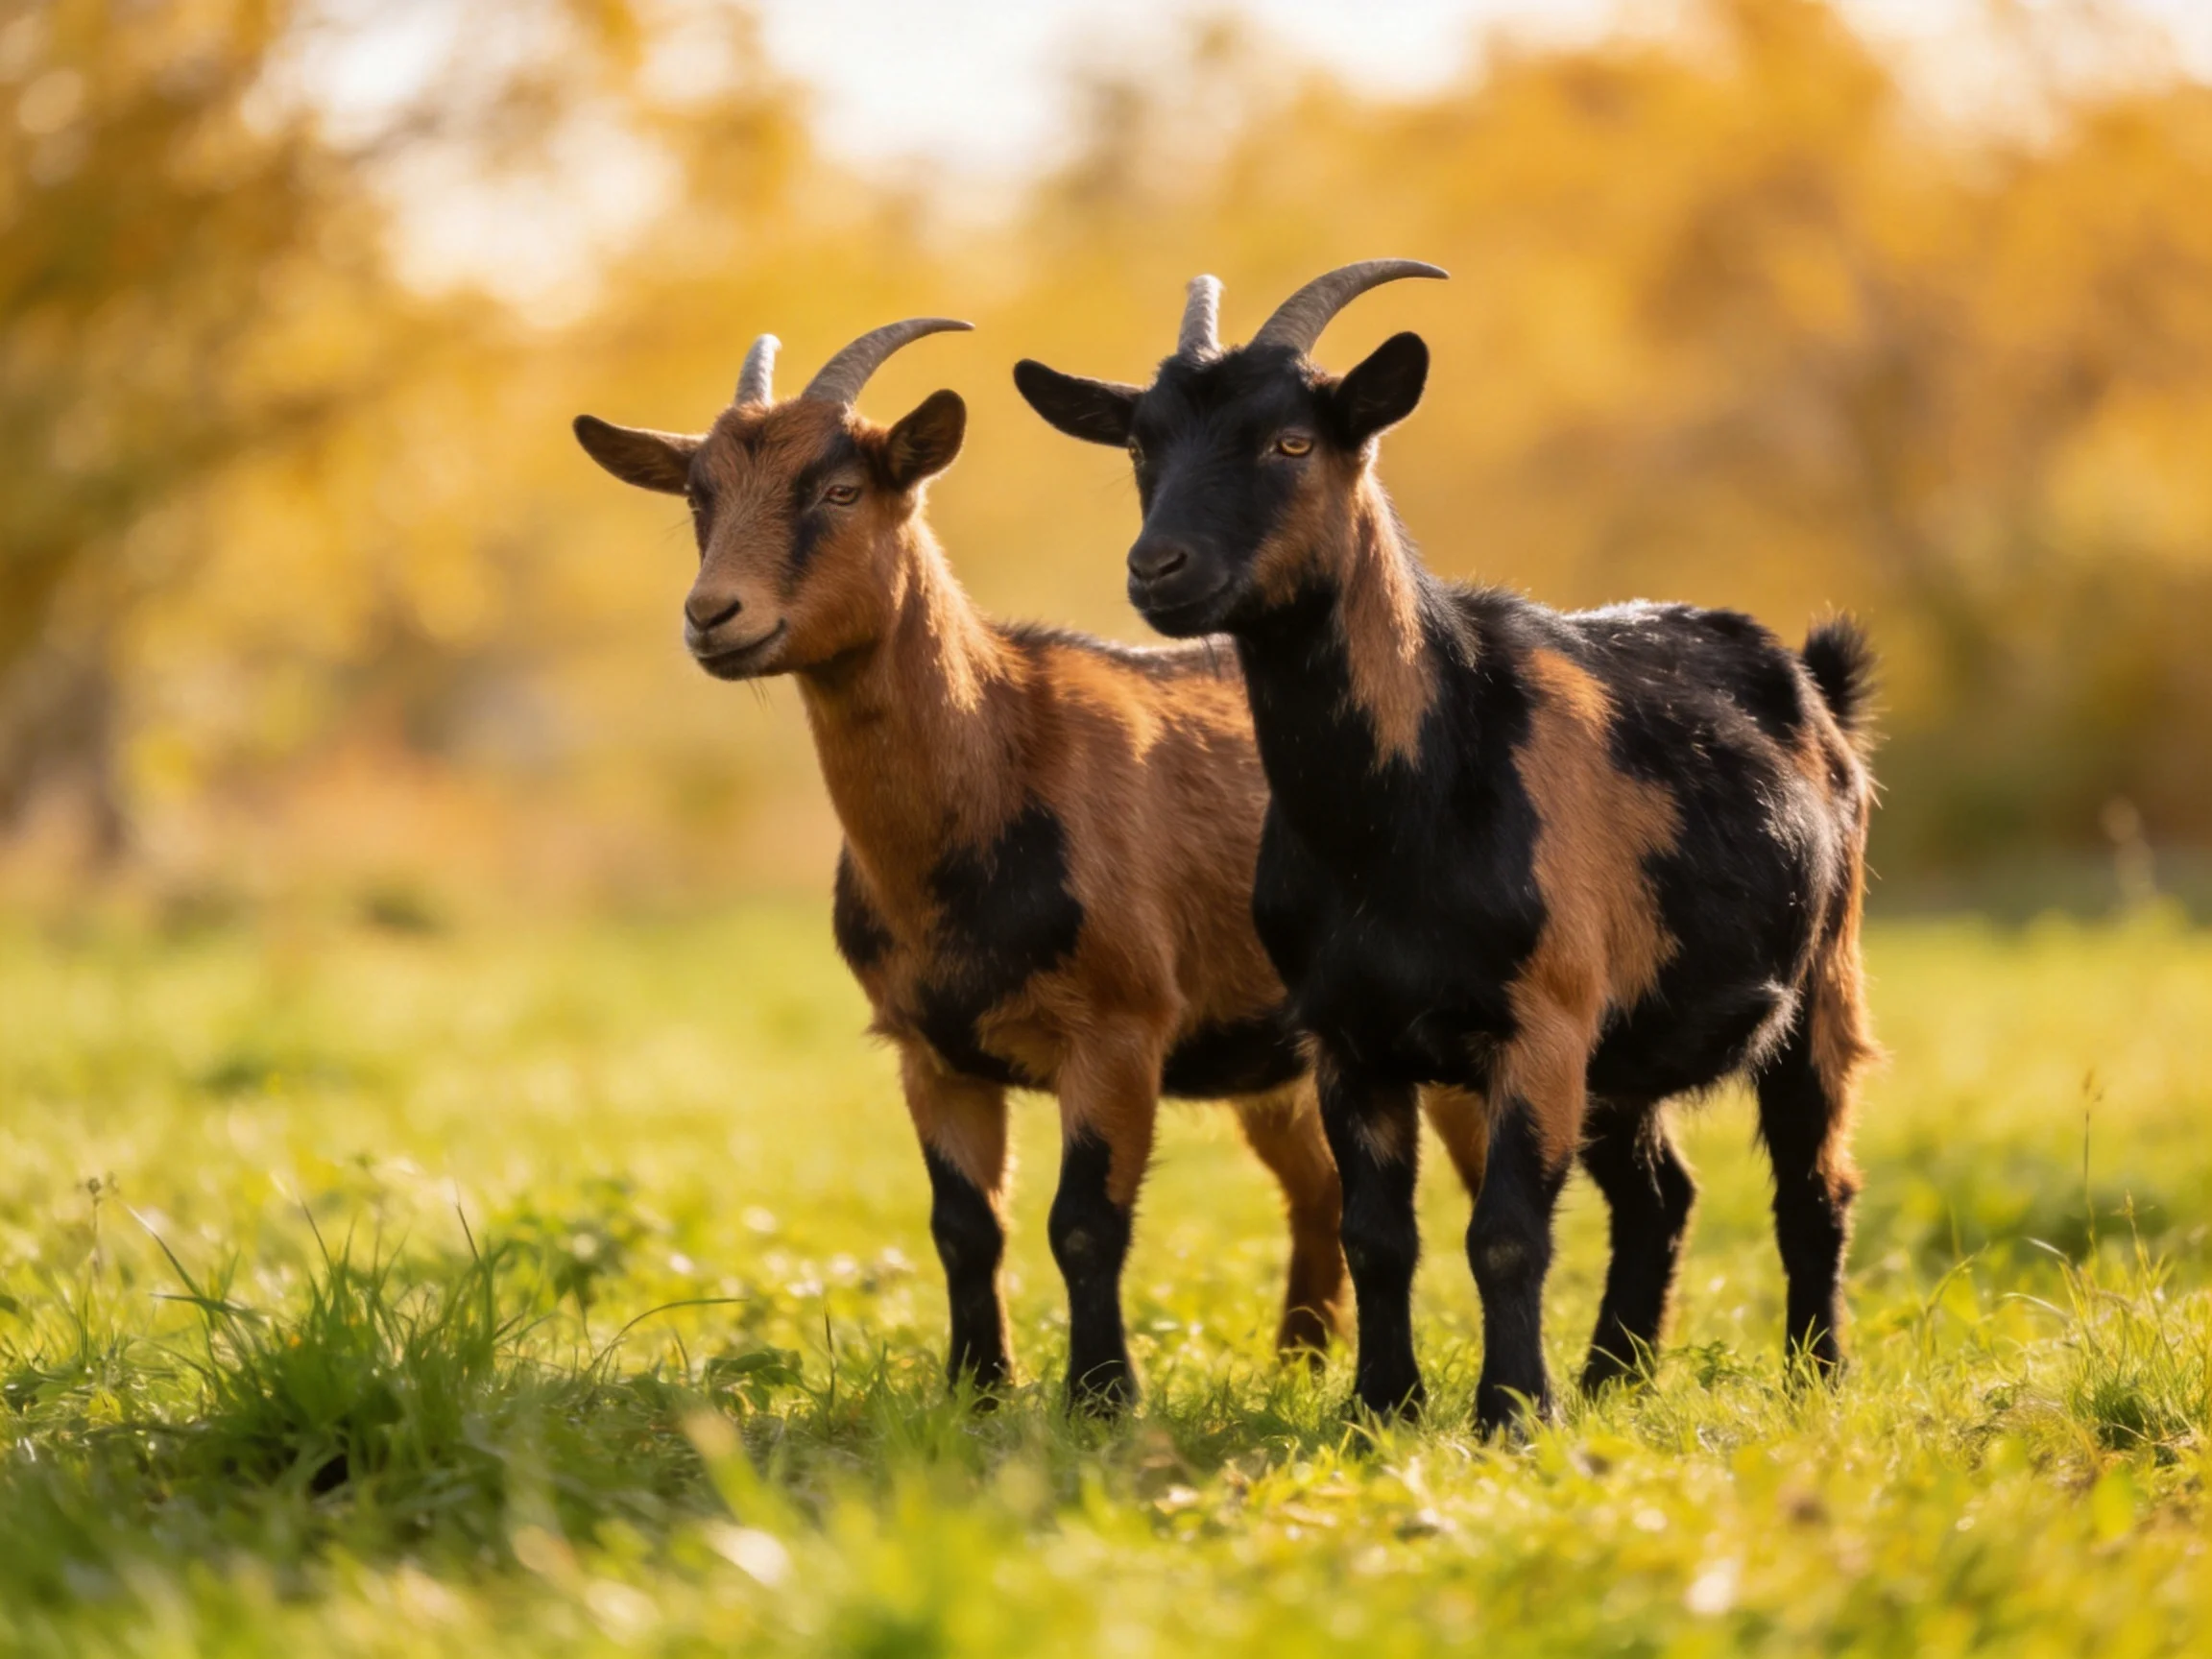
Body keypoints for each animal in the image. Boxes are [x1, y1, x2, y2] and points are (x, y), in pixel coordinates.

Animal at [574, 319, 1352, 1409]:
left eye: (841, 489)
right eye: (699, 494)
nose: (713, 615)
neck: (1005, 755)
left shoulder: (1119, 1031)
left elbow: (1085, 1224)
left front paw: (1103, 1396)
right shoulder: (930, 1050)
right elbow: (963, 1228)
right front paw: (977, 1388)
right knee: (1319, 1185)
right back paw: (1300, 1367)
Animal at [1017, 265, 1878, 1431]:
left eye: (1293, 441)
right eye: (1143, 445)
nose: (1160, 568)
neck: (1400, 819)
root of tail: (1815, 684)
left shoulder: (1542, 1020)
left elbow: (1507, 1233)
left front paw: (1511, 1411)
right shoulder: (1348, 1034)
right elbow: (1377, 1235)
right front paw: (1382, 1404)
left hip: (1823, 981)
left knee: (1813, 1184)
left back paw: (1813, 1374)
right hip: (1623, 1056)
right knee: (1662, 1195)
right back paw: (1614, 1377)